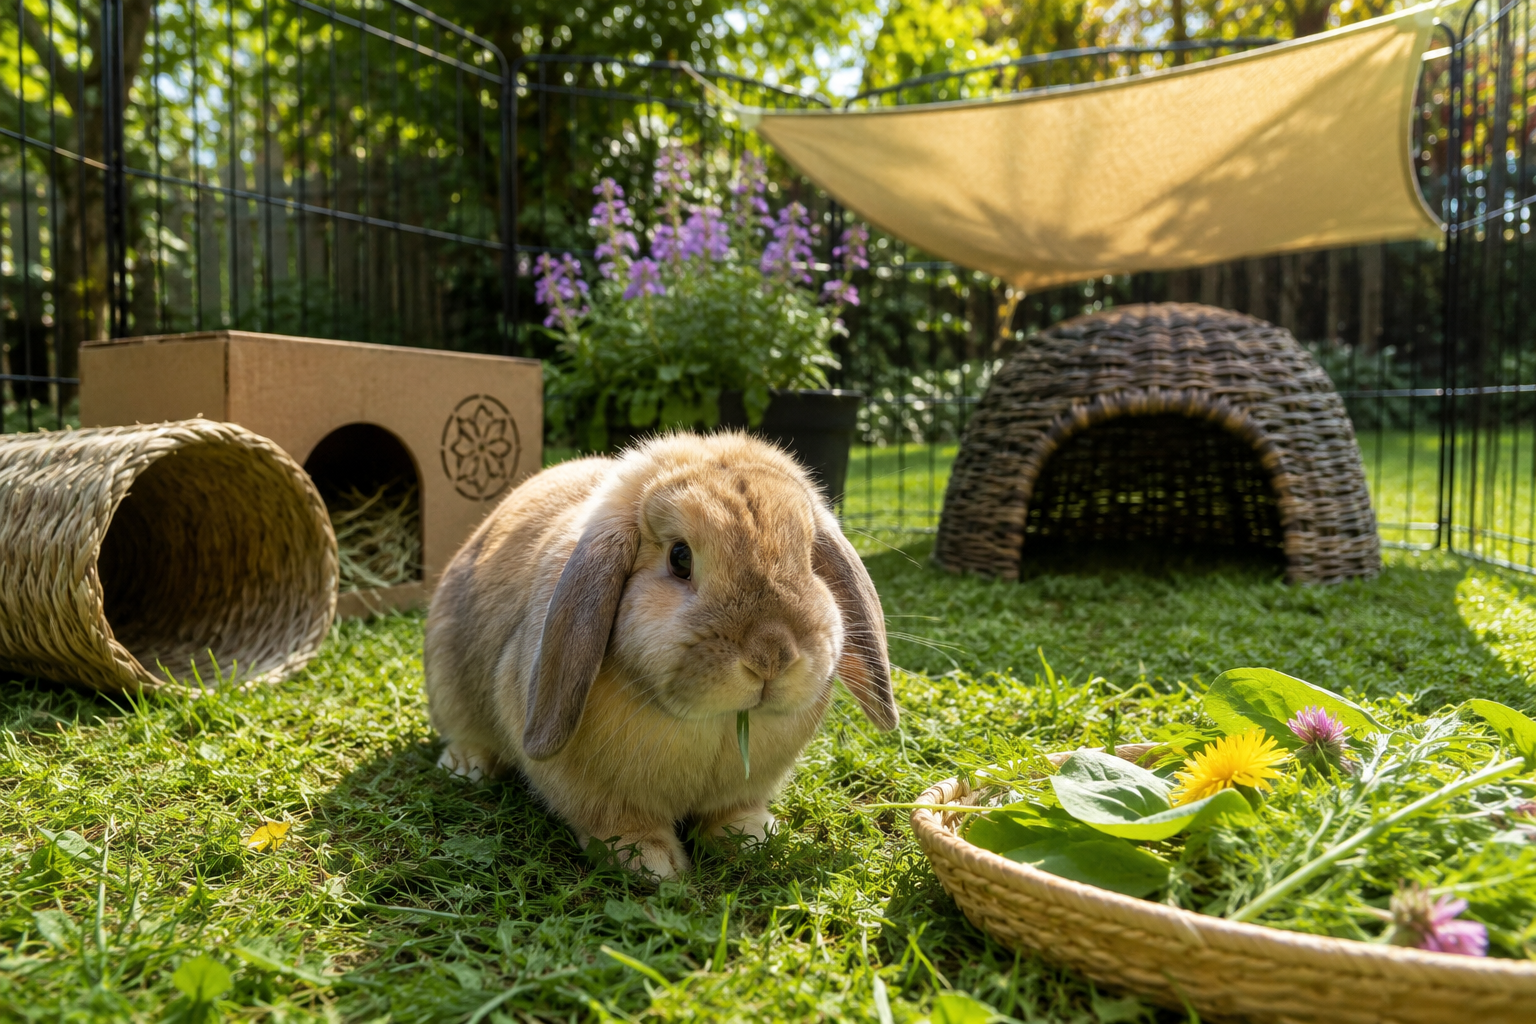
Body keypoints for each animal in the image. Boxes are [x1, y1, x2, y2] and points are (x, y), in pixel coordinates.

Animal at [423, 431, 896, 879]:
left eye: (810, 559)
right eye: (679, 558)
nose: (771, 656)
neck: (716, 725)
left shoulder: (741, 789)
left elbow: (733, 812)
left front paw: (754, 837)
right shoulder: (591, 789)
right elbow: (616, 821)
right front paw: (653, 863)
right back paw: (465, 766)